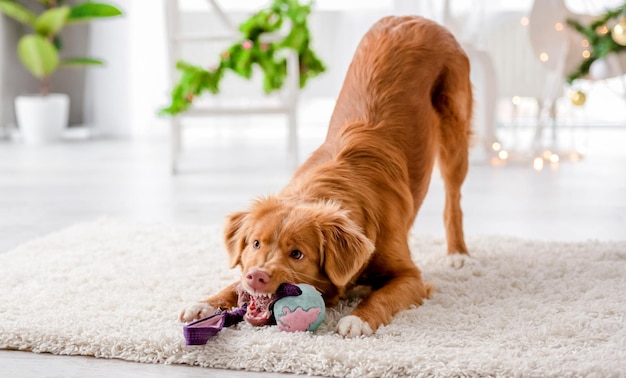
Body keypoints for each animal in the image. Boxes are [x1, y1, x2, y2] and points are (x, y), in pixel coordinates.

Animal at [178, 16, 470, 338]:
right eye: (255, 244)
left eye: (297, 254)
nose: (257, 277)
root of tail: (416, 19)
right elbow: (232, 284)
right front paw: (205, 304)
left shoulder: (410, 276)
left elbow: (382, 296)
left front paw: (358, 318)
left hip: (454, 131)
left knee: (453, 198)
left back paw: (458, 253)